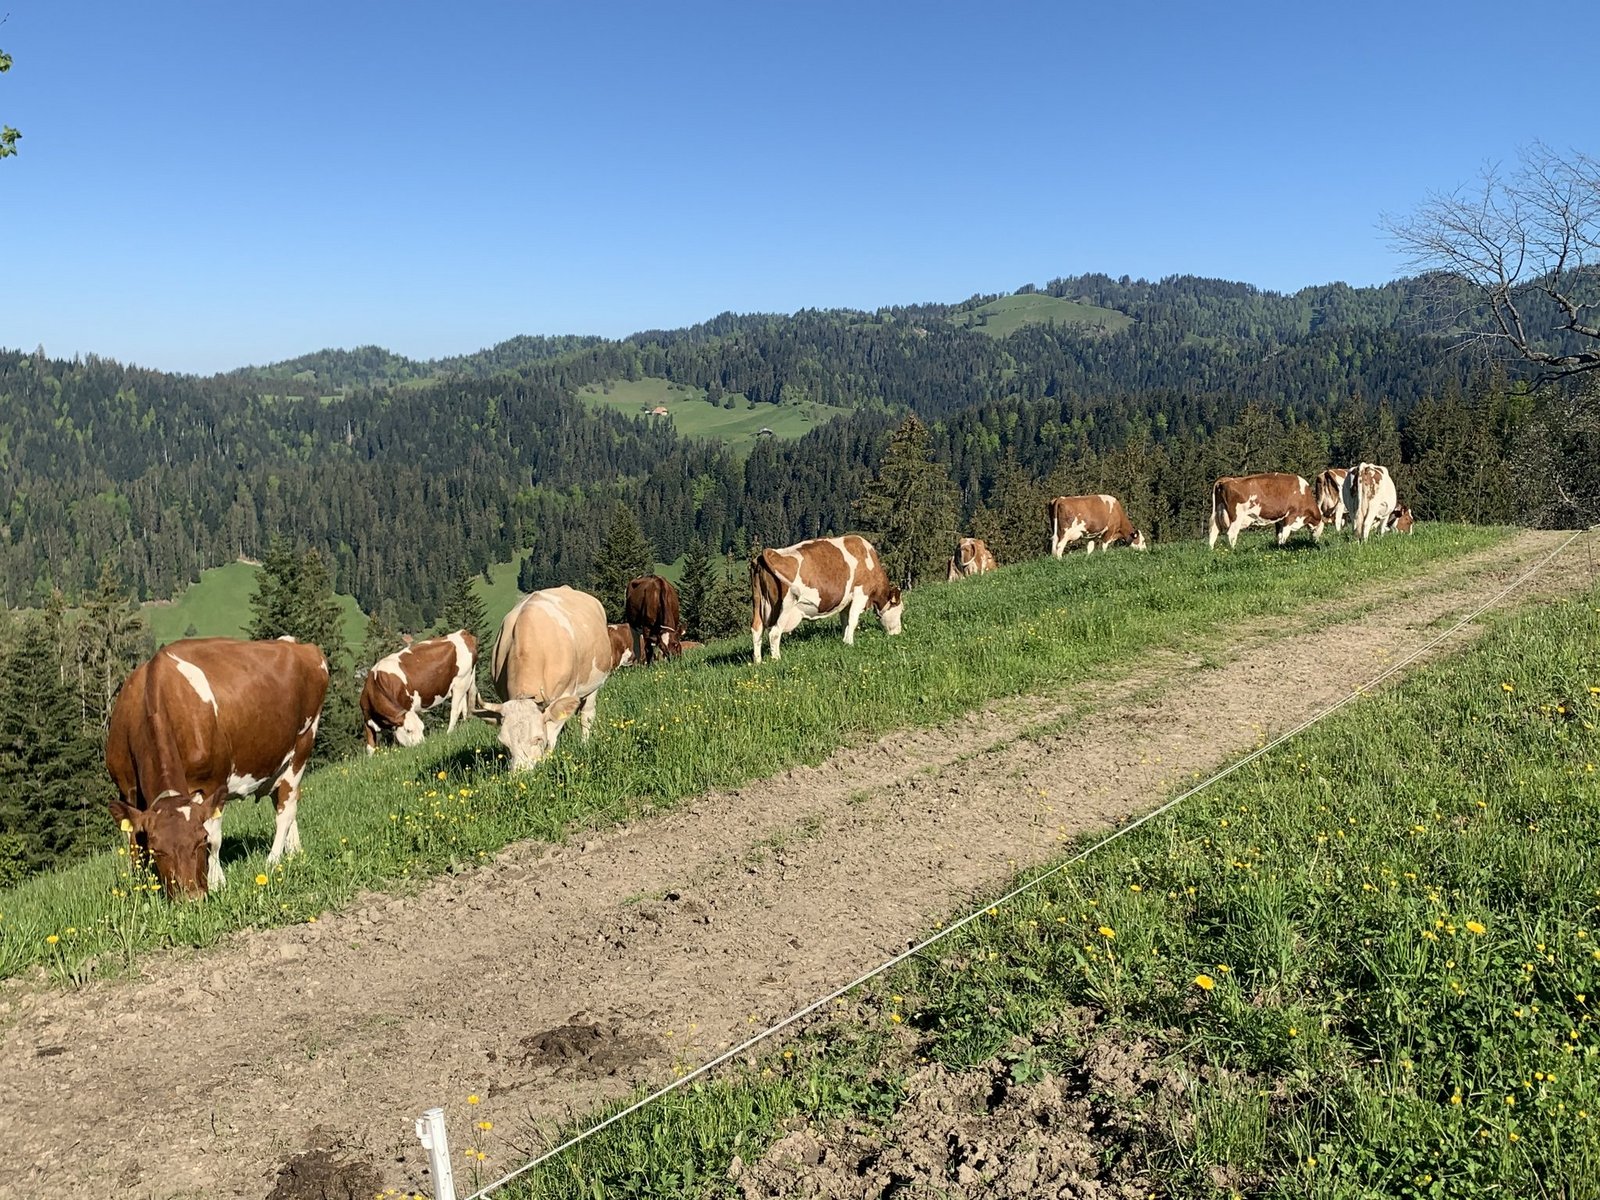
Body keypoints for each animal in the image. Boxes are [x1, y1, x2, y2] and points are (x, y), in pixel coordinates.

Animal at [105, 637, 329, 898]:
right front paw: (141, 885)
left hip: (303, 744)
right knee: (285, 801)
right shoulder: (126, 790)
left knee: (286, 808)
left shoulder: (212, 784)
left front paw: (215, 882)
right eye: (156, 850)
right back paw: (294, 852)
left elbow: (215, 836)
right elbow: (133, 841)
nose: (191, 898)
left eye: (200, 841)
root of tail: (298, 645)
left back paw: (273, 862)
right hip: (278, 763)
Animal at [475, 586, 613, 770]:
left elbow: (552, 736)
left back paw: (584, 742)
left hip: (594, 684)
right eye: (504, 744)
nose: (520, 773)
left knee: (587, 716)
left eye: (538, 738)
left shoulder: (565, 694)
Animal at [750, 535, 903, 664]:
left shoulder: (846, 601)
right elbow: (853, 620)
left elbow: (845, 621)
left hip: (757, 603)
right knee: (774, 633)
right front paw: (850, 643)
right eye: (900, 611)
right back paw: (777, 659)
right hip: (786, 606)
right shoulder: (861, 593)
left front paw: (844, 640)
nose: (898, 633)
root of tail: (769, 553)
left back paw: (758, 662)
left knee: (756, 630)